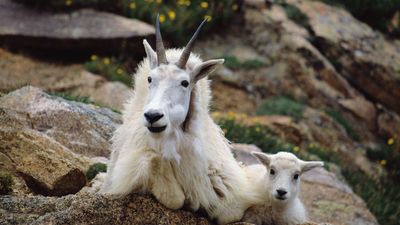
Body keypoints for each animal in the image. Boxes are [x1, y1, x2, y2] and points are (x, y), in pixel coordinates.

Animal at [101, 15, 260, 223]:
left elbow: (227, 213)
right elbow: (173, 196)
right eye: (150, 79)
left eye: (185, 82)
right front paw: (187, 201)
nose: (153, 116)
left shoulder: (230, 195)